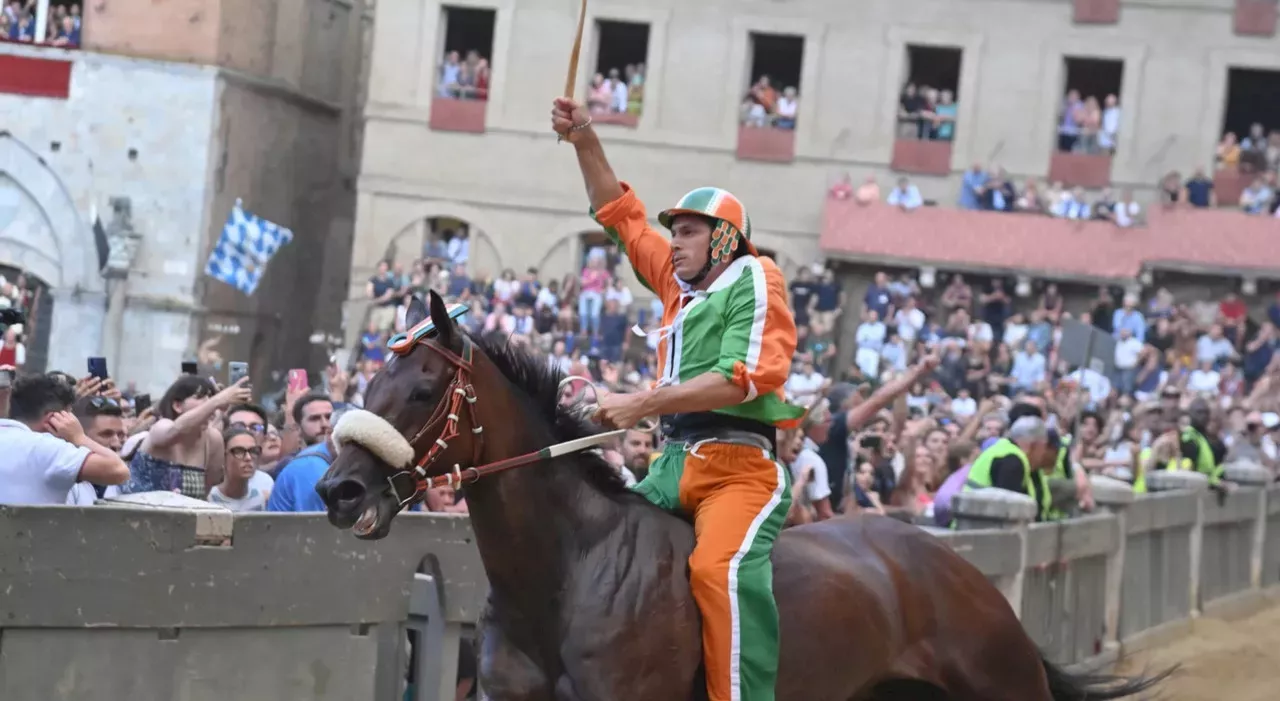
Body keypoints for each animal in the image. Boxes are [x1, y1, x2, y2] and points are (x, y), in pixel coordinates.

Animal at [314, 291, 1167, 701]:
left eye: (423, 386)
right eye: (373, 376)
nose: (337, 486)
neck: (567, 574)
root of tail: (959, 572)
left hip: (999, 680)